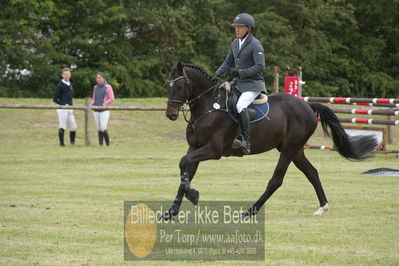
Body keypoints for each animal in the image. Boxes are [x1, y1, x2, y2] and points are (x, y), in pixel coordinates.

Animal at [163, 62, 378, 220]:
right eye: (167, 85)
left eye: (180, 86)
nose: (171, 114)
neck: (209, 107)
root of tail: (307, 106)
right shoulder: (194, 147)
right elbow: (186, 172)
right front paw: (172, 211)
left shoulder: (212, 150)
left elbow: (183, 164)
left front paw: (193, 195)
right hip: (295, 150)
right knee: (312, 173)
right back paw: (322, 207)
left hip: (289, 149)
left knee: (276, 180)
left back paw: (250, 211)